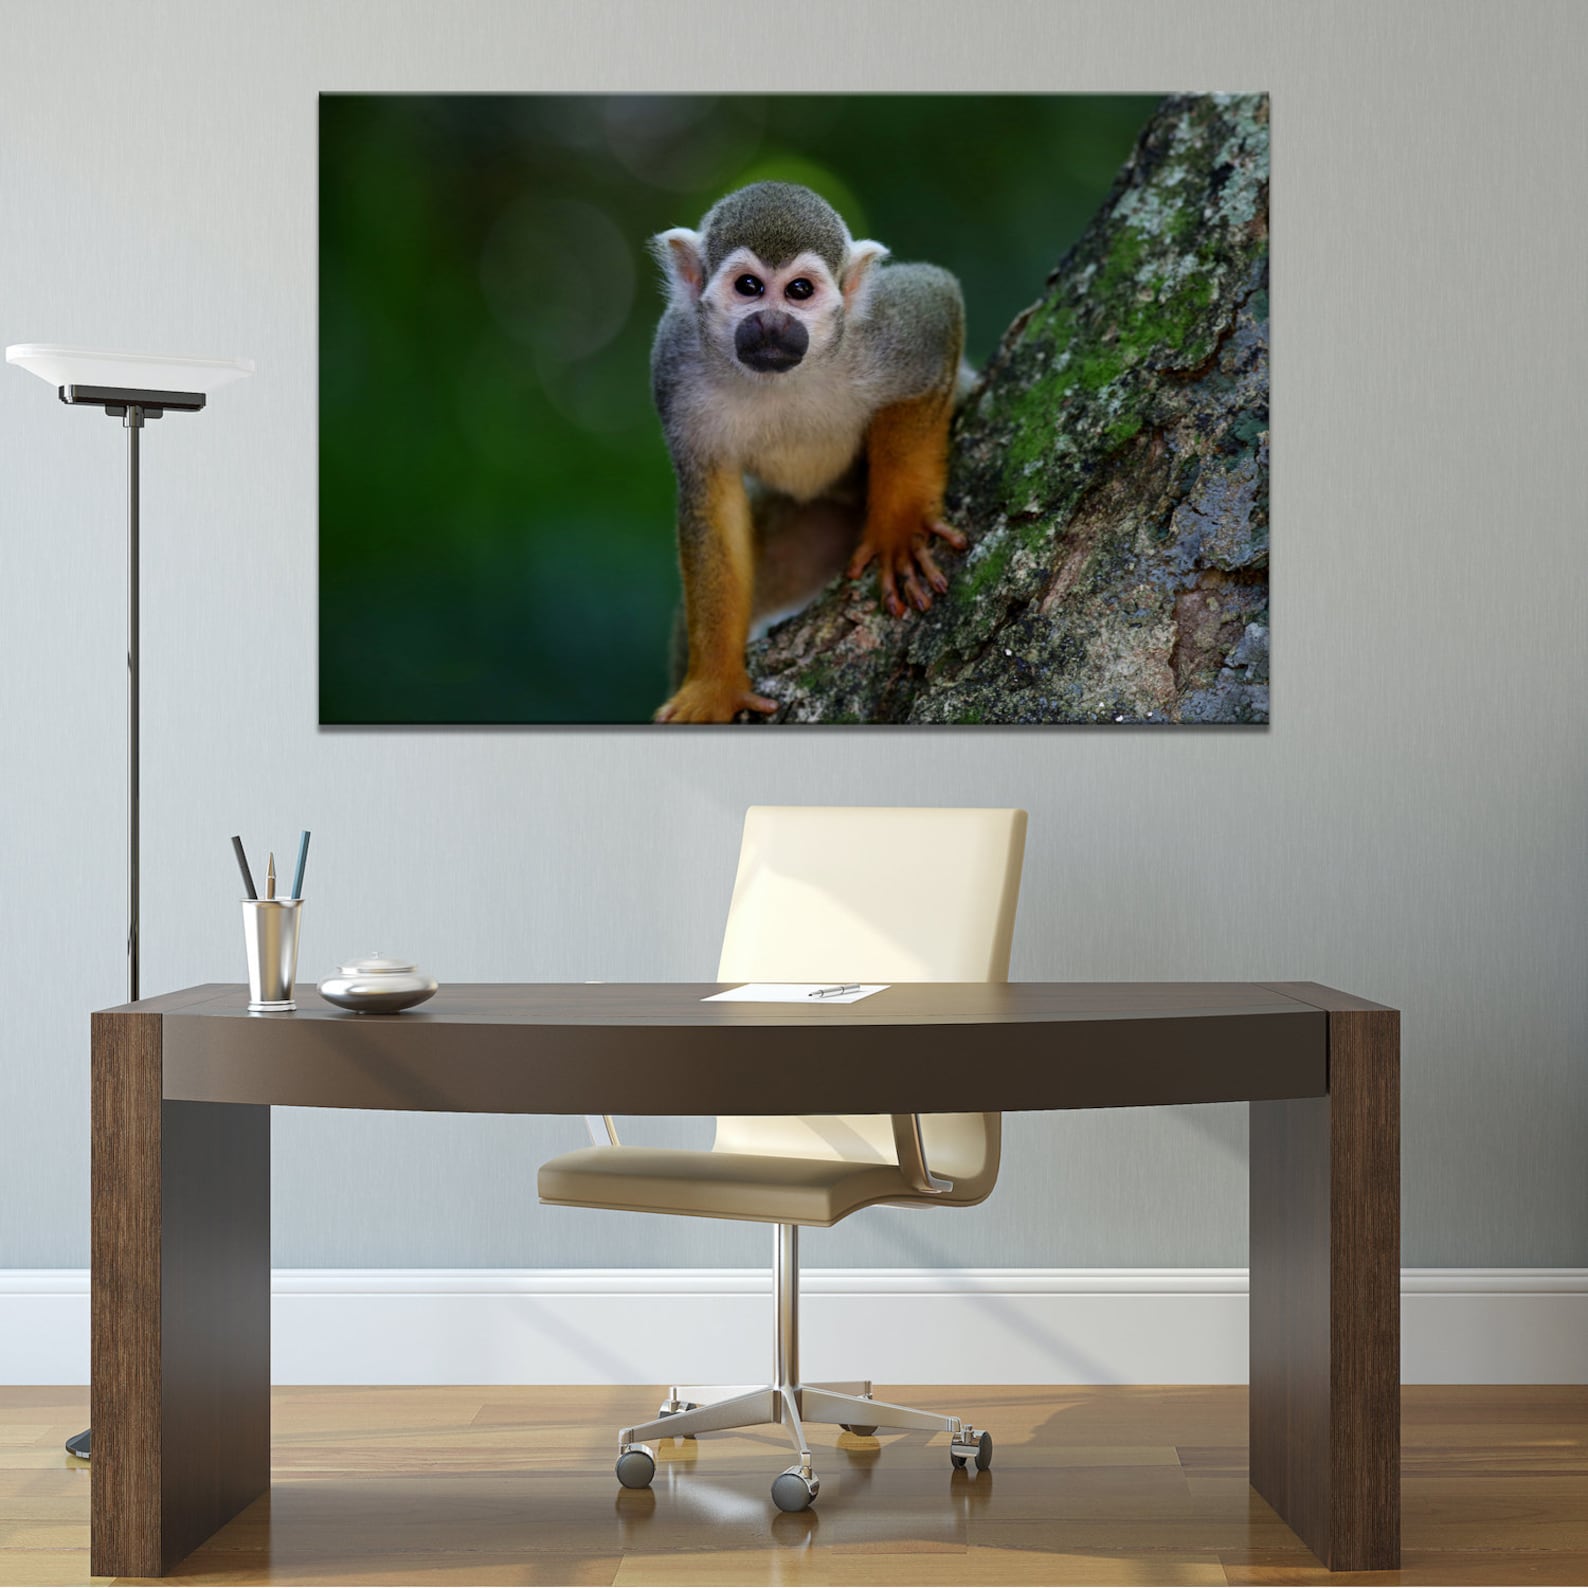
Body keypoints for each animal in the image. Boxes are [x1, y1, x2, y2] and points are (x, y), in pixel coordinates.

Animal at [647, 180, 969, 724]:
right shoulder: (675, 363)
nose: (772, 325)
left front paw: (899, 527)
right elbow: (711, 502)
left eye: (800, 291)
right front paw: (714, 685)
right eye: (749, 287)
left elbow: (938, 303)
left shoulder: (885, 329)